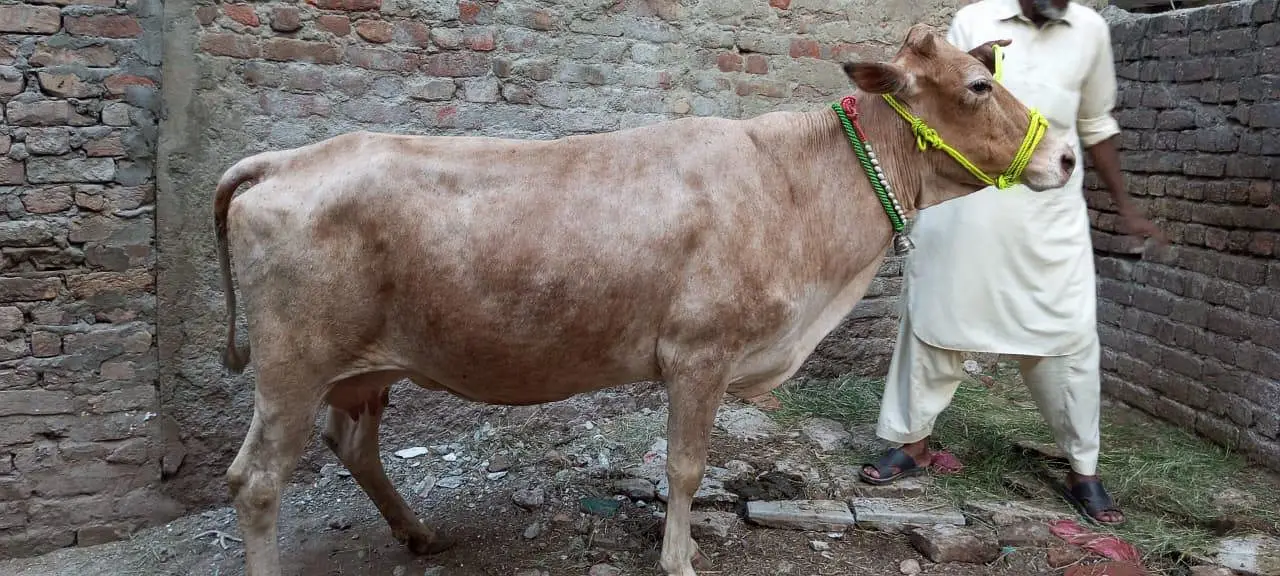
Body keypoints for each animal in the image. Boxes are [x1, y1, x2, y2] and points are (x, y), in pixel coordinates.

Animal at [211, 23, 1075, 576]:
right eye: (979, 85)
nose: (1066, 156)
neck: (800, 192)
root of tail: (289, 158)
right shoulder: (700, 352)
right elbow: (685, 466)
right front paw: (679, 558)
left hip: (364, 368)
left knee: (351, 446)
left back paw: (421, 535)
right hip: (292, 364)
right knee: (256, 480)